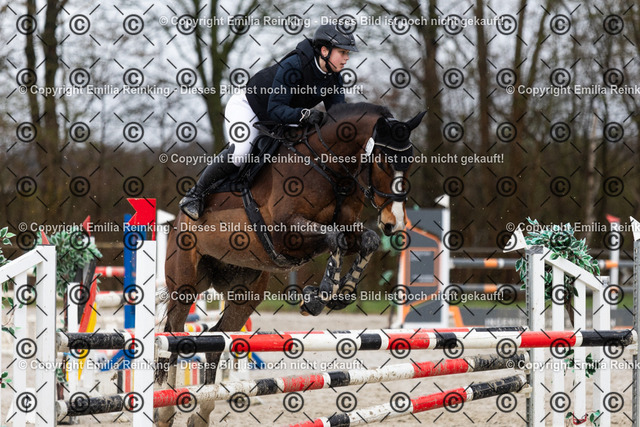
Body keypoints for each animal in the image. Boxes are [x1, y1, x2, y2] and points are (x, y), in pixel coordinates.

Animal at [155, 102, 425, 426]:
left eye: (410, 164)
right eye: (384, 163)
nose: (393, 223)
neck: (327, 167)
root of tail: (178, 221)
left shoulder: (348, 228)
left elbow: (366, 240)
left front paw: (340, 294)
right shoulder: (286, 233)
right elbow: (335, 239)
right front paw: (319, 297)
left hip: (245, 292)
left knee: (214, 339)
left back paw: (201, 413)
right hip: (185, 284)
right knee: (174, 334)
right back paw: (165, 410)